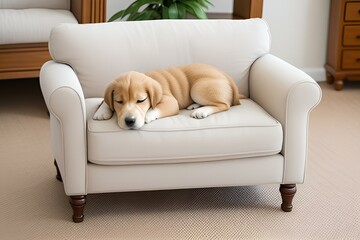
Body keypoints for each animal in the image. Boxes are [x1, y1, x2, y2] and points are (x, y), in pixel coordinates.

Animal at [94, 62, 243, 128]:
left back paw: (201, 111)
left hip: (198, 88)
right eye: (119, 101)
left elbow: (156, 109)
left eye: (141, 100)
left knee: (224, 105)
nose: (130, 121)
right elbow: (104, 101)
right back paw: (194, 106)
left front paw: (147, 116)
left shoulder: (171, 101)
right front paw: (101, 112)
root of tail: (226, 76)